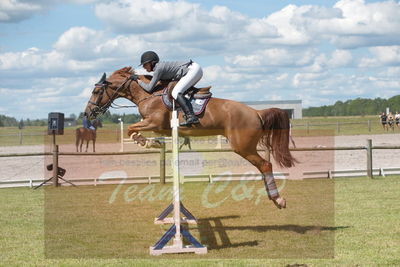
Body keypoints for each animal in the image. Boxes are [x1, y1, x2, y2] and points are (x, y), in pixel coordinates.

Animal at [83, 67, 296, 209]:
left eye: (96, 91)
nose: (88, 113)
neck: (148, 94)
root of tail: (257, 112)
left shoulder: (154, 122)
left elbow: (130, 129)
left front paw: (147, 142)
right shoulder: (158, 127)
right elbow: (132, 130)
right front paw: (150, 142)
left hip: (242, 147)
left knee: (265, 165)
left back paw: (278, 199)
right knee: (262, 166)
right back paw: (271, 196)